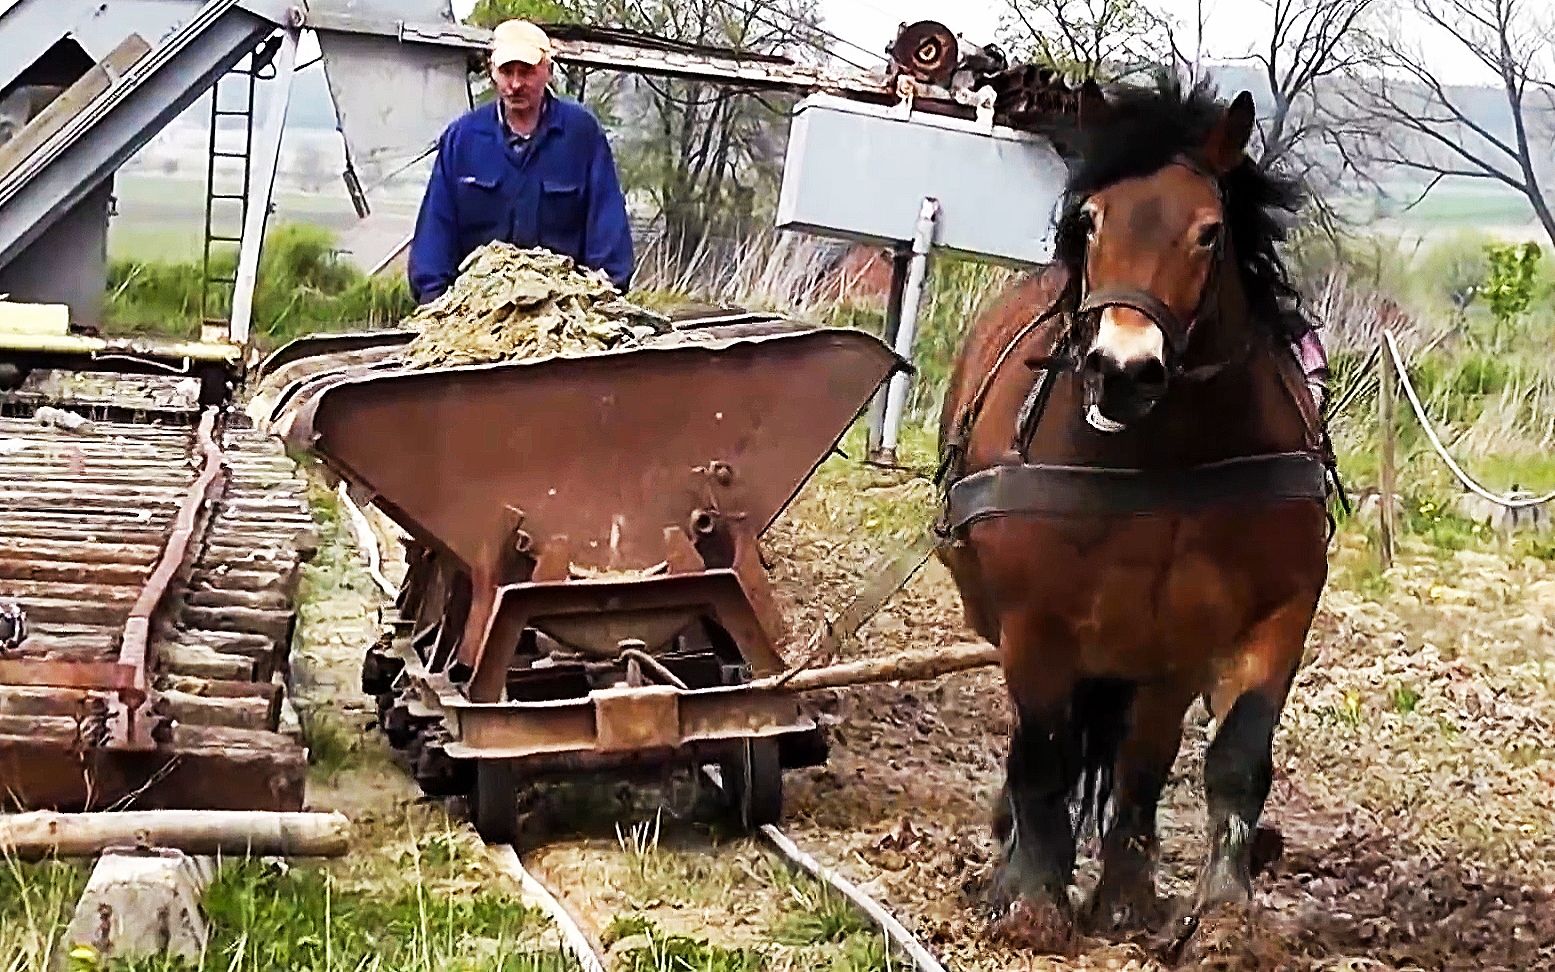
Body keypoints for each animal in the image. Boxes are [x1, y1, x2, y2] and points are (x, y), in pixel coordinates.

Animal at [932, 73, 1337, 945]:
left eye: (1209, 232)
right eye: (1089, 220)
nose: (1122, 369)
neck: (1161, 461)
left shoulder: (1269, 613)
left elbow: (1228, 758)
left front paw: (1219, 919)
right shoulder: (1034, 621)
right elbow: (1042, 752)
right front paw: (1030, 900)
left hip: (1160, 652)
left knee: (1140, 753)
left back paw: (1124, 891)